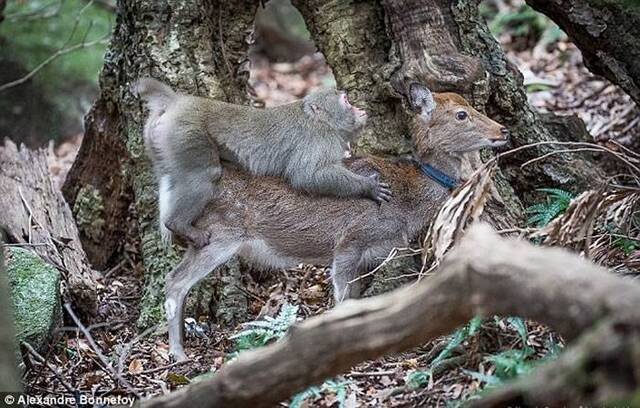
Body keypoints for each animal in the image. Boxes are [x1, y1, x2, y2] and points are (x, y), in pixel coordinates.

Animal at [135, 78, 390, 247]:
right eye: (344, 100)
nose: (357, 106)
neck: (322, 121)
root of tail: (177, 102)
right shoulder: (318, 139)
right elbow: (307, 176)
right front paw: (368, 186)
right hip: (185, 133)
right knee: (206, 174)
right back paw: (178, 224)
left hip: (159, 139)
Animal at [164, 83, 510, 360]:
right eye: (461, 115)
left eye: (471, 104)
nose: (502, 130)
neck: (405, 203)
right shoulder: (350, 241)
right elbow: (342, 302)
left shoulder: (370, 254)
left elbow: (355, 302)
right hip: (219, 234)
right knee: (175, 281)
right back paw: (178, 354)